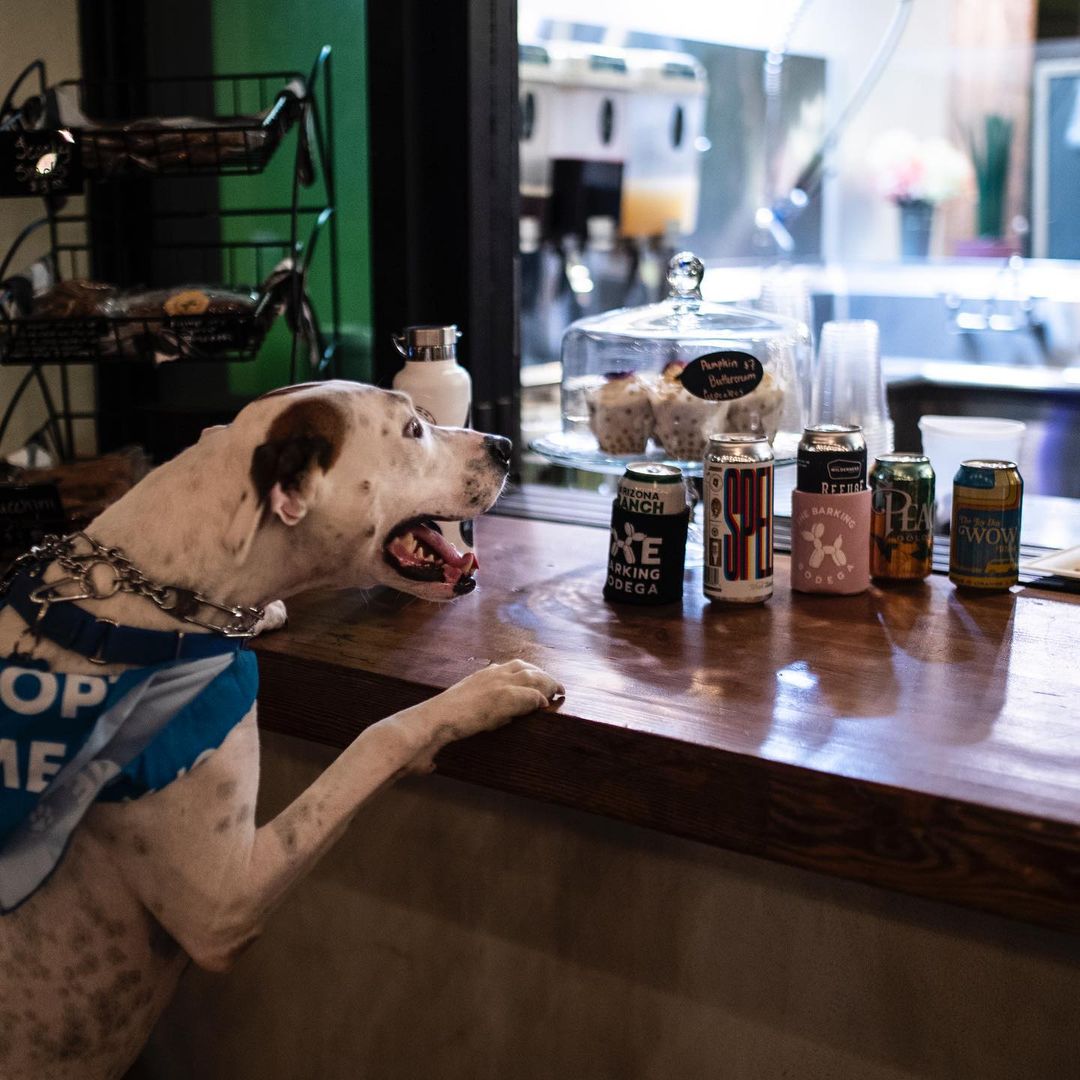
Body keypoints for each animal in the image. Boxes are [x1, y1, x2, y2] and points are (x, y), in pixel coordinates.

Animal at [0, 382, 561, 1080]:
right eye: (412, 430)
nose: (506, 445)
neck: (141, 604)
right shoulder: (224, 903)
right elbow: (381, 736)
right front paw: (484, 693)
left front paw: (261, 613)